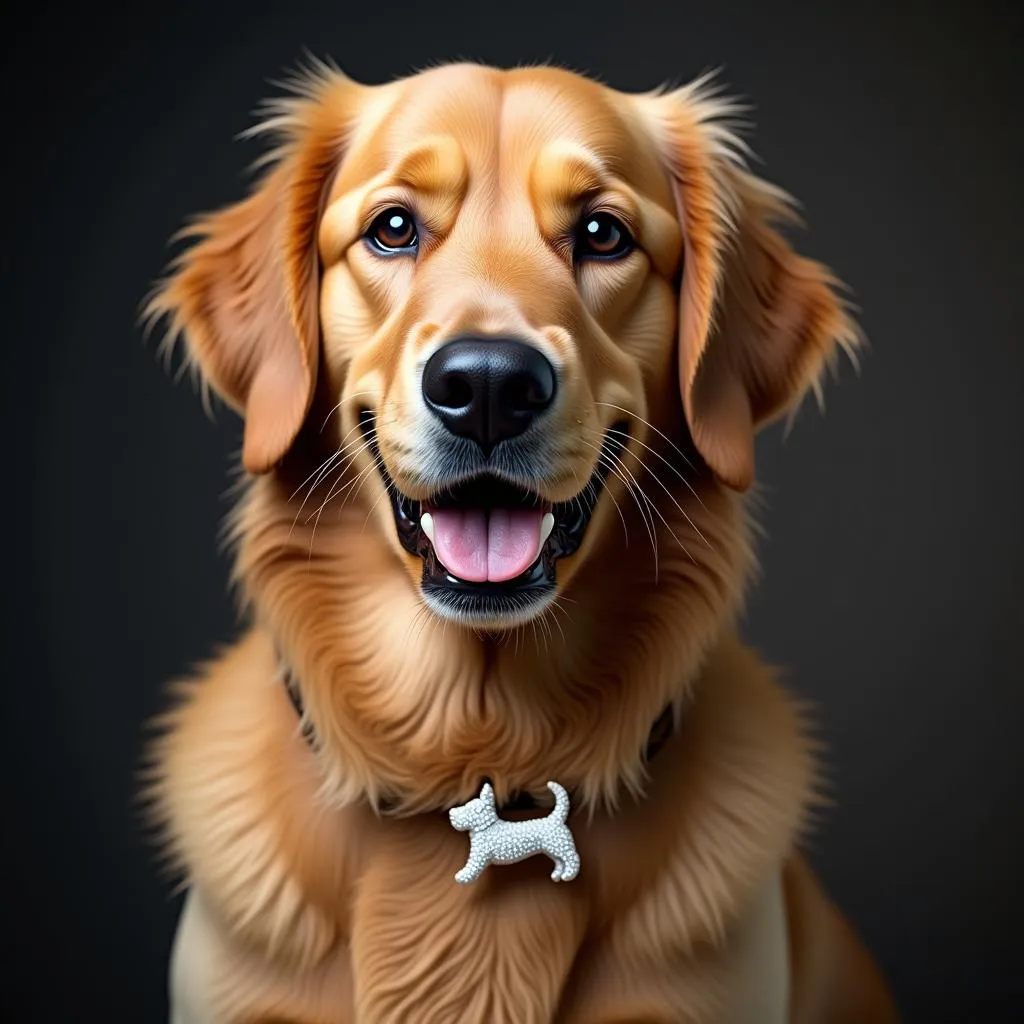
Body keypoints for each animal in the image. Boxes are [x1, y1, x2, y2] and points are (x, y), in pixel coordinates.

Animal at [450, 778, 585, 884]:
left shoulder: (479, 856)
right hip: (551, 850)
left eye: (466, 808)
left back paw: (569, 874)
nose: (451, 813)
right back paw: (557, 875)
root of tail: (555, 818)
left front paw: (462, 876)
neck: (487, 827)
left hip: (560, 846)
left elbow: (471, 867)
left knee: (573, 857)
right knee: (560, 861)